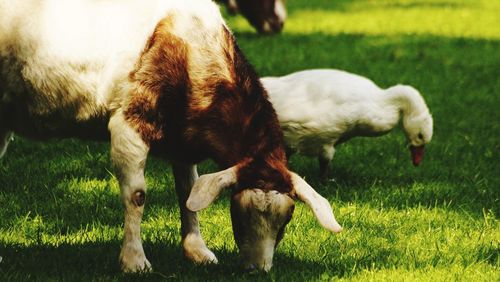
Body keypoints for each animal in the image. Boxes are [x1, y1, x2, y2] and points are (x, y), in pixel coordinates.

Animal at [0, 0, 340, 274]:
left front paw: (197, 251)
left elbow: (188, 193)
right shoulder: (128, 124)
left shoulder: (183, 141)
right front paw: (134, 261)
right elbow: (136, 195)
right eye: (239, 216)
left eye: (286, 221)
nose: (259, 269)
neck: (191, 46)